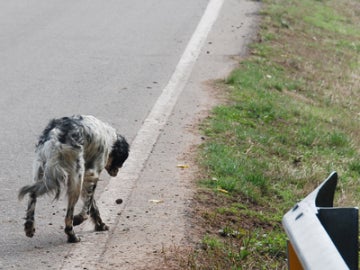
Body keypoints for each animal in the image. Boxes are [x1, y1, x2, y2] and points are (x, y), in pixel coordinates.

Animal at [17, 114, 129, 243]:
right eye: (121, 161)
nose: (117, 172)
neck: (110, 138)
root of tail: (55, 135)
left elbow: (93, 206)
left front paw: (100, 225)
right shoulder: (91, 174)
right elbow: (87, 208)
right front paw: (79, 219)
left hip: (40, 171)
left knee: (32, 196)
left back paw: (29, 227)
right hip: (76, 180)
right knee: (68, 217)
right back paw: (72, 235)